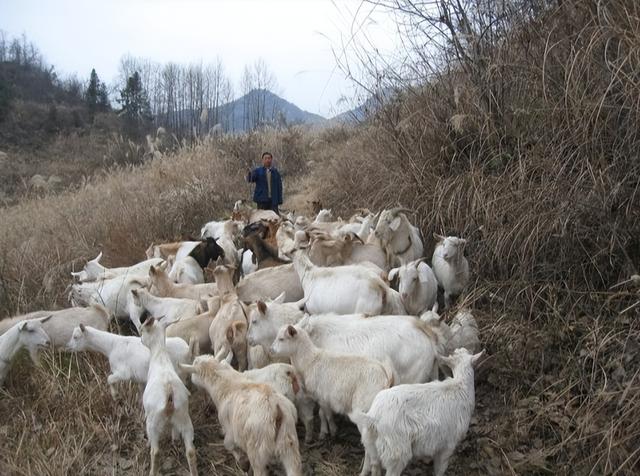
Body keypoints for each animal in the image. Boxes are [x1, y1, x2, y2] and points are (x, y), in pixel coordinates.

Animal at [352, 346, 482, 476]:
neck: (460, 387)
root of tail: (374, 417)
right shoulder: (448, 445)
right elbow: (440, 469)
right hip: (396, 451)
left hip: (371, 445)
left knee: (374, 465)